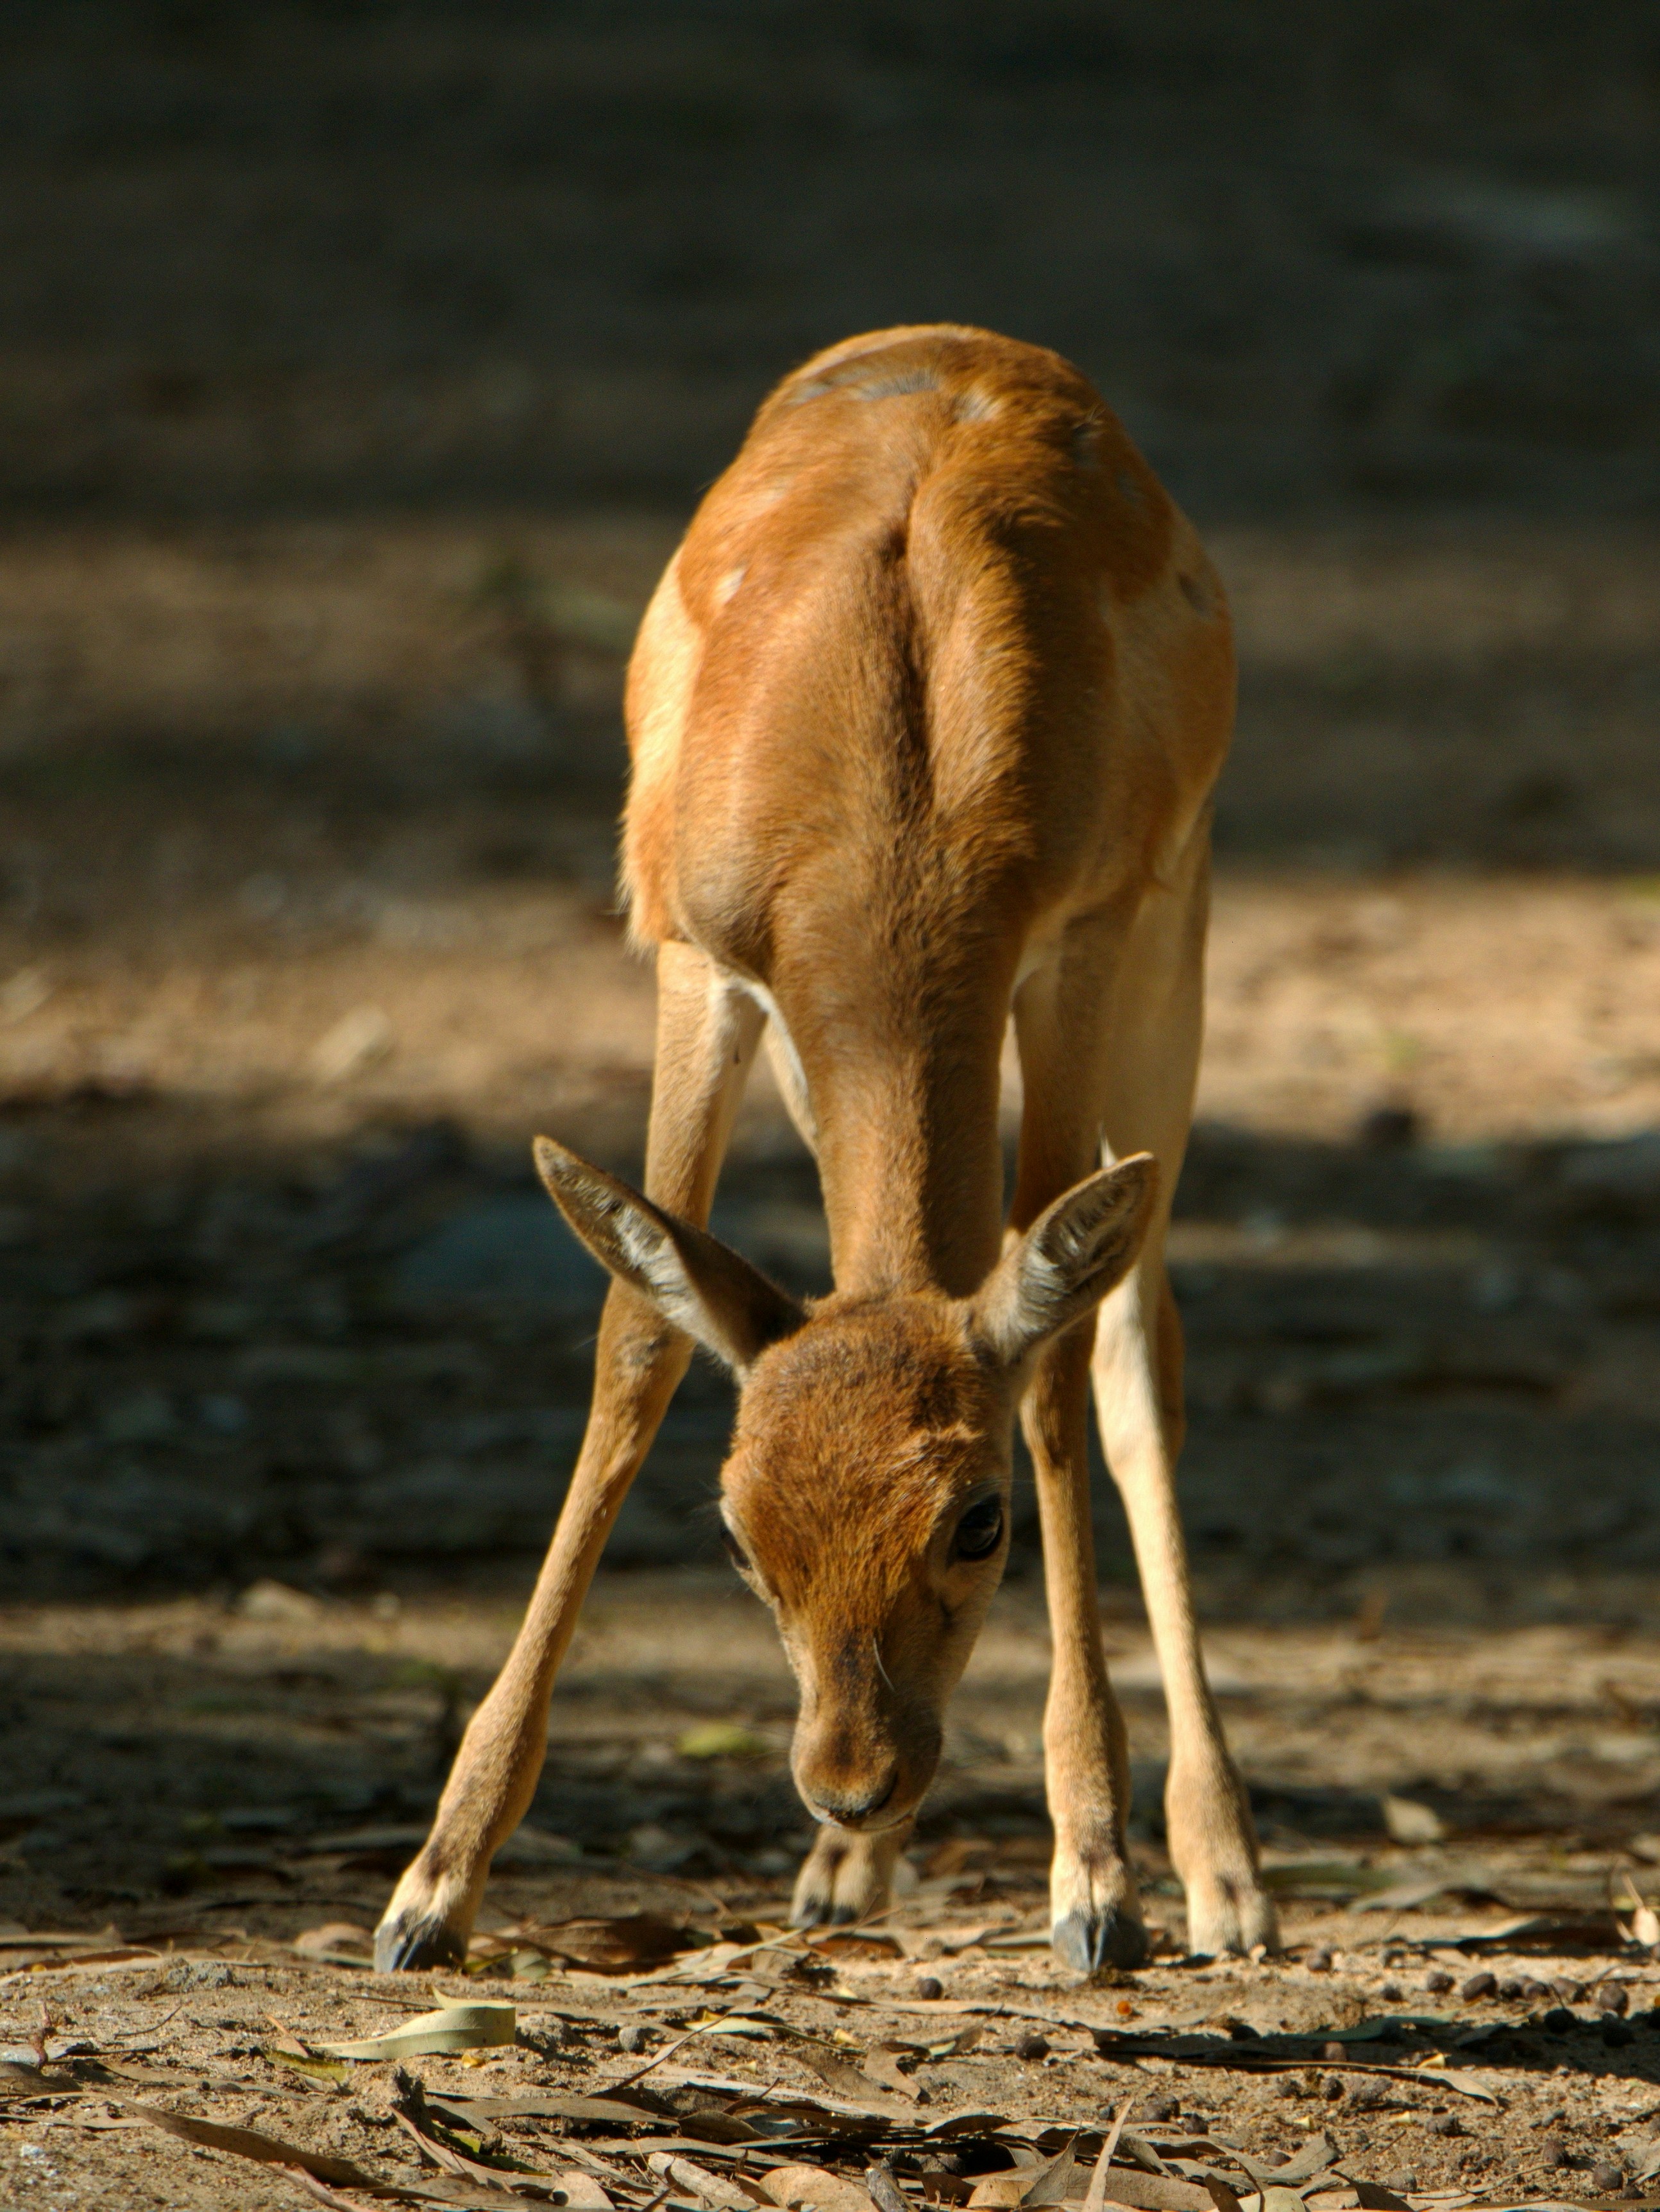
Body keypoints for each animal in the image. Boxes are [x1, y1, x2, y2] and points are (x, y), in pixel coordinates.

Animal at [374, 323, 1277, 1975]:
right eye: (738, 1528)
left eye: (978, 1517)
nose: (848, 1778)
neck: (886, 825)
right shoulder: (699, 956)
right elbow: (639, 1338)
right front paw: (427, 1891)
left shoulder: (1076, 936)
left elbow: (1051, 1367)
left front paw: (1092, 1880)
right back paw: (847, 1879)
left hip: (1169, 950)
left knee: (1134, 1346)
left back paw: (1224, 1874)